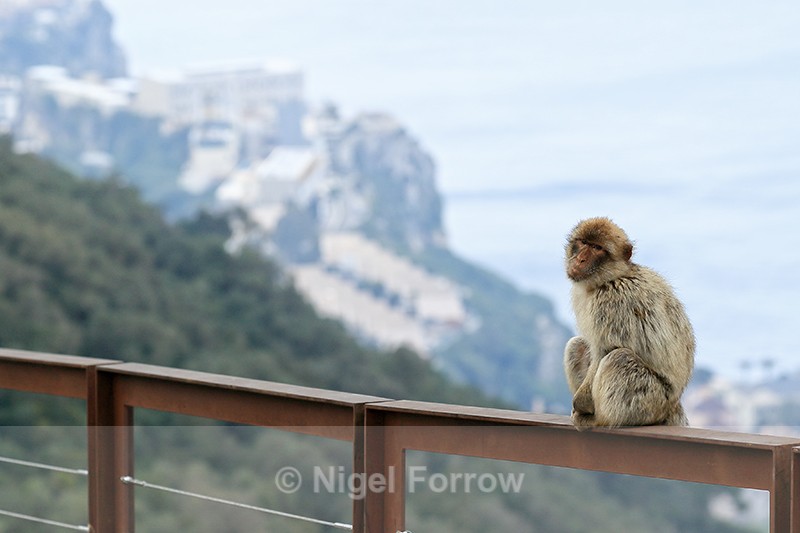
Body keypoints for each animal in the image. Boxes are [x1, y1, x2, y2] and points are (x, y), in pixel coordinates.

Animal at [563, 217, 694, 430]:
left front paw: (580, 403)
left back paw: (598, 419)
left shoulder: (609, 302)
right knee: (577, 345)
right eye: (583, 243)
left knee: (619, 358)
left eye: (597, 247)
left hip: (649, 400)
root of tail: (673, 406)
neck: (610, 278)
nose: (580, 258)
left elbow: (604, 351)